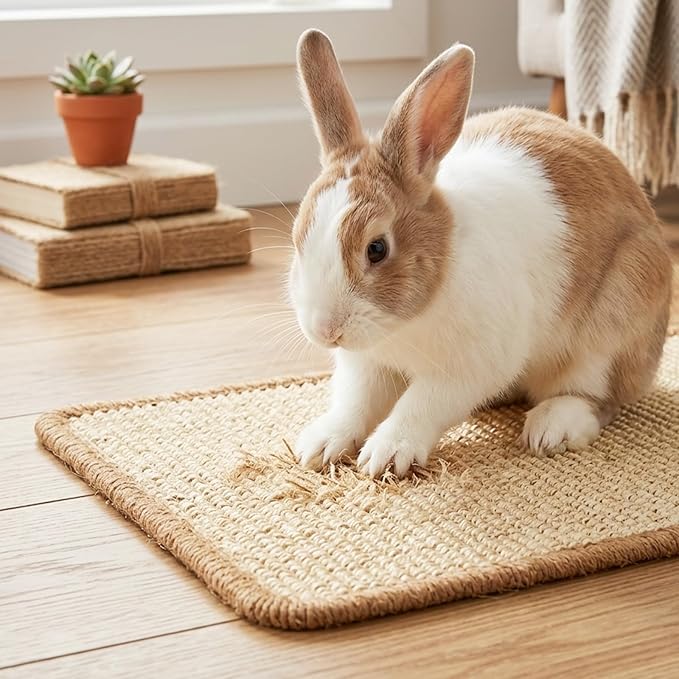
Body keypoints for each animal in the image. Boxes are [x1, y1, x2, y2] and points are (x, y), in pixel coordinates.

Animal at [288, 29, 672, 478]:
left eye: (377, 249)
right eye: (298, 239)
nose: (325, 330)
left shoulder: (469, 366)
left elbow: (421, 404)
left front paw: (386, 455)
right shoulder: (367, 365)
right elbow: (355, 403)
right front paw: (320, 446)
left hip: (614, 322)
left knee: (598, 397)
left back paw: (551, 428)